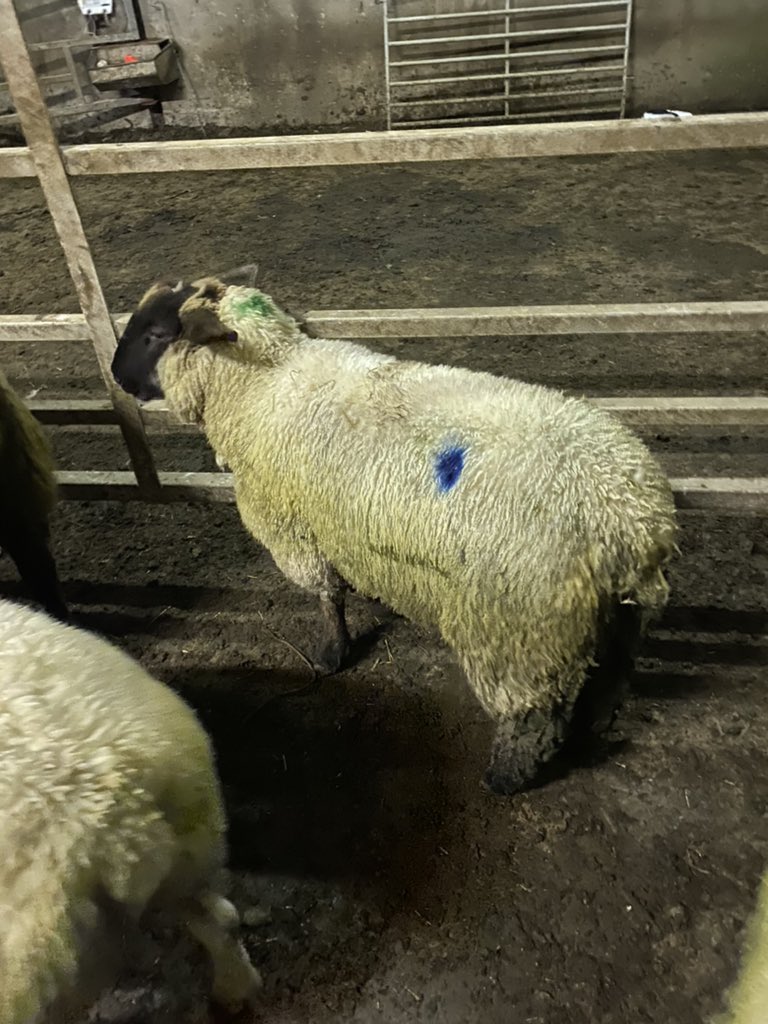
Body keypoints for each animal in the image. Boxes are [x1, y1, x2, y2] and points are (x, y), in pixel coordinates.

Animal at [111, 273, 678, 795]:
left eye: (156, 334)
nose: (115, 375)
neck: (264, 380)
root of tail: (630, 520)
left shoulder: (294, 529)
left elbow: (326, 596)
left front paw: (332, 655)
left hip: (518, 629)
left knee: (533, 716)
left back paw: (505, 777)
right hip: (619, 621)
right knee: (610, 683)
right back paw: (592, 731)